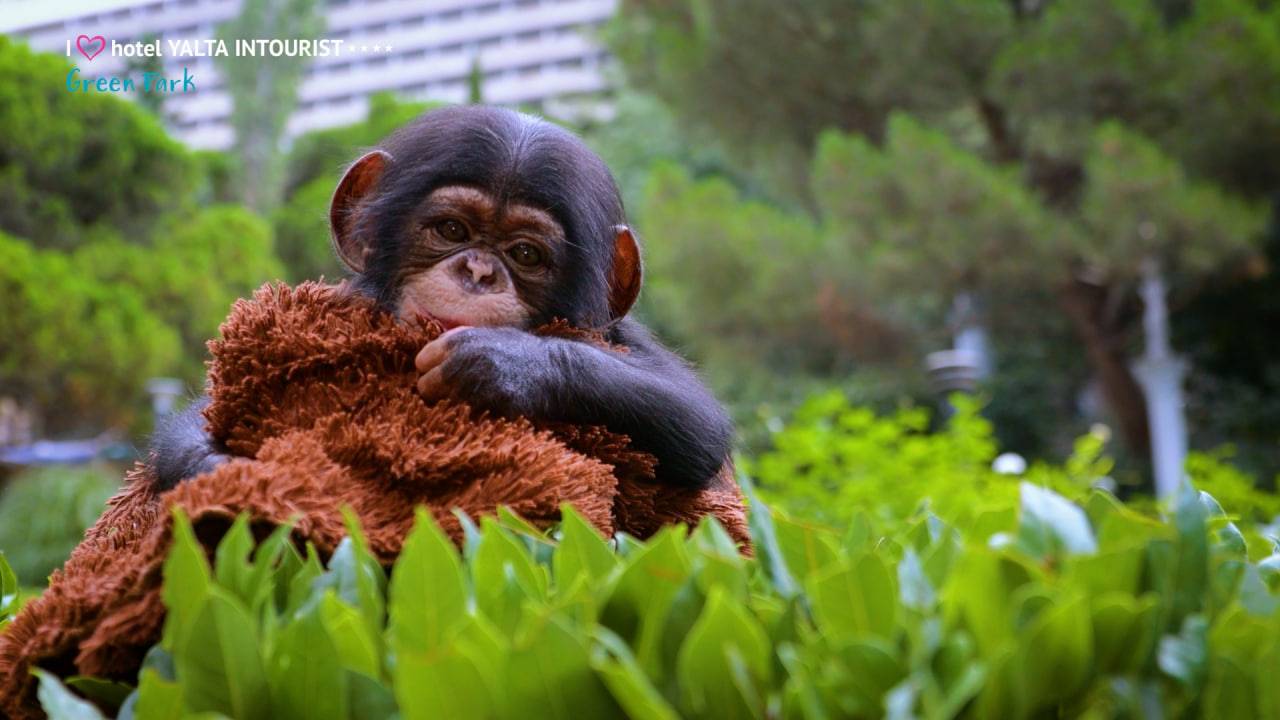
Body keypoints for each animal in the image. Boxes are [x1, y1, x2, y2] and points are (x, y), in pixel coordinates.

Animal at [150, 105, 733, 491]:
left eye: (525, 254)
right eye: (452, 229)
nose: (477, 272)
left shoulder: (620, 337)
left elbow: (694, 419)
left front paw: (502, 362)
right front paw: (209, 465)